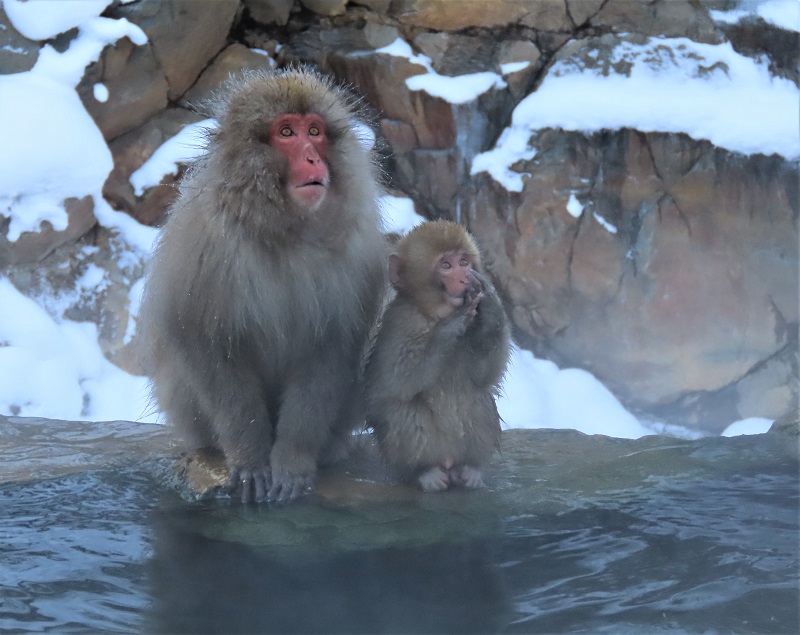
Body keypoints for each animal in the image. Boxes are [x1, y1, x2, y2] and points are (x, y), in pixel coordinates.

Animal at [140, 69, 388, 504]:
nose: (312, 157)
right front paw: (252, 460)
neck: (285, 230)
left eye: (314, 131)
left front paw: (292, 461)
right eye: (286, 132)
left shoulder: (357, 259)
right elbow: (211, 348)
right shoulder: (205, 245)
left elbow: (329, 351)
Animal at [366, 221, 510, 494]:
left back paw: (471, 468)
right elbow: (395, 380)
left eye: (464, 262)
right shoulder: (399, 321)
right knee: (401, 409)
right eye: (446, 266)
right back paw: (424, 472)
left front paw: (490, 304)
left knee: (480, 398)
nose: (464, 277)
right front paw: (454, 323)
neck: (433, 314)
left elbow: (484, 375)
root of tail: (448, 462)